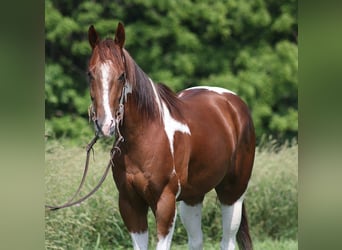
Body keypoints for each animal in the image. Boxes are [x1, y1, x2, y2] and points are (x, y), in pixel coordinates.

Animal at [87, 22, 255, 250]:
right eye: (90, 74)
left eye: (121, 75)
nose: (105, 124)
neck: (147, 136)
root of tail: (233, 102)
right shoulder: (130, 203)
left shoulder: (165, 201)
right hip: (193, 197)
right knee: (196, 241)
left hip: (232, 193)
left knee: (227, 241)